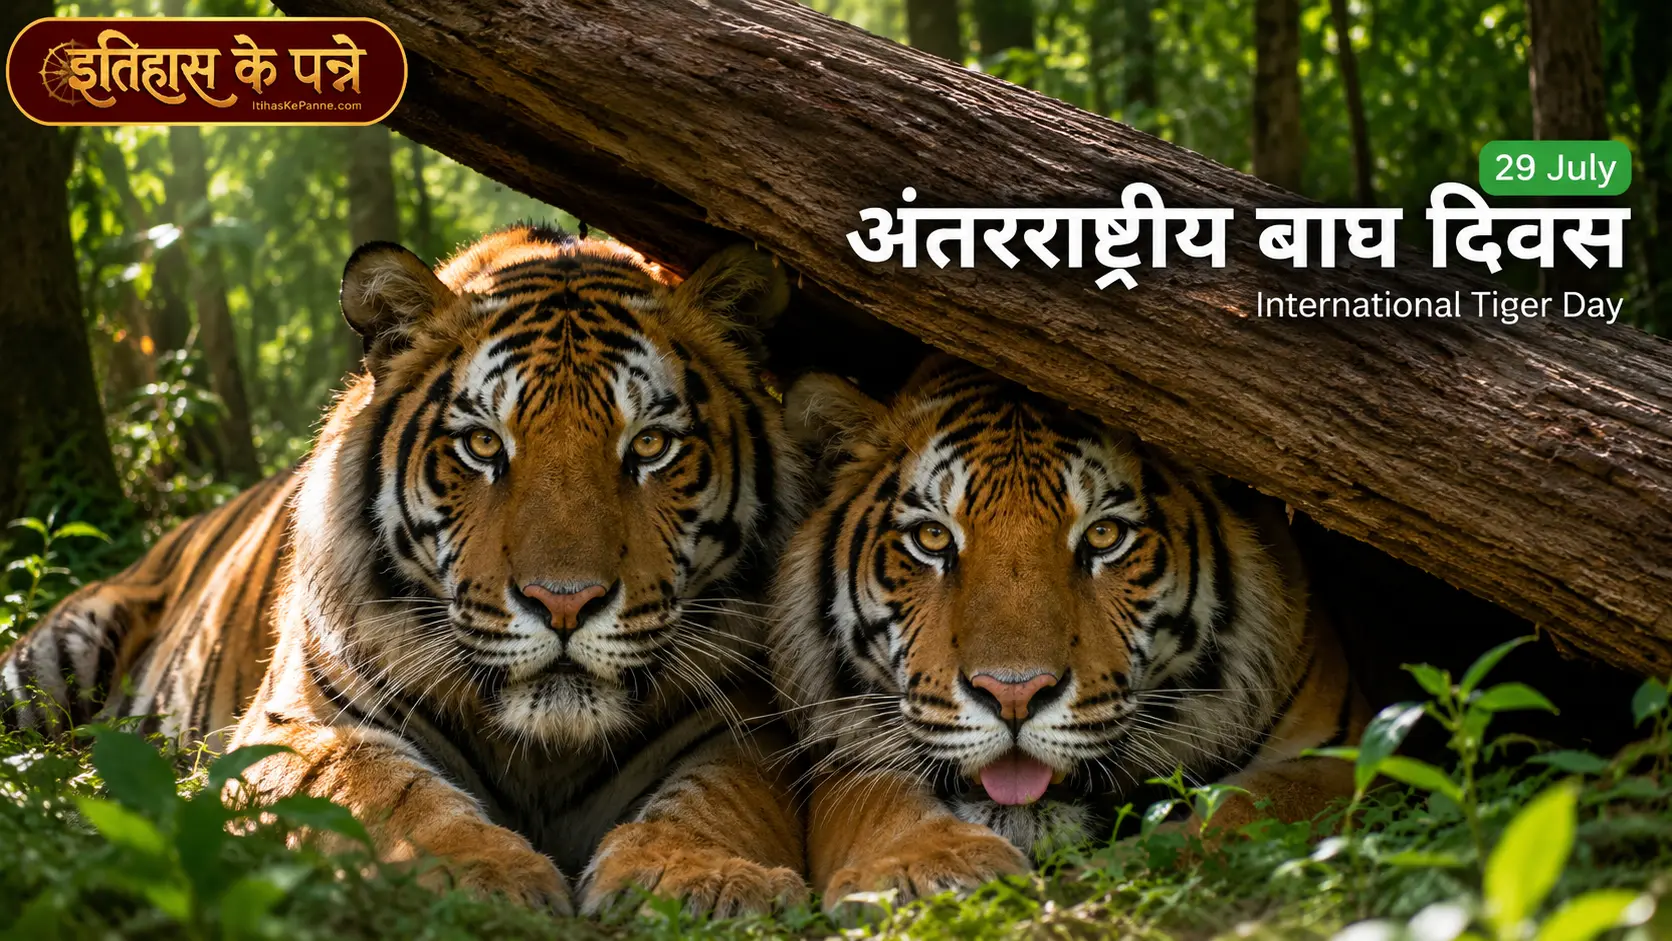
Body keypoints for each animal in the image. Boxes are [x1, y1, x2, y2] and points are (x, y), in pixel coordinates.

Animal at [1, 226, 812, 917]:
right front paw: (480, 872)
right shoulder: (301, 722)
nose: (564, 603)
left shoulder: (745, 729)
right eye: (483, 445)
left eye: (648, 445)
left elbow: (718, 799)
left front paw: (704, 879)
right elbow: (384, 794)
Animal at [768, 355, 1369, 907]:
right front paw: (924, 870)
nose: (1013, 695)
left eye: (1105, 535)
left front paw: (1123, 877)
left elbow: (1260, 807)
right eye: (933, 538)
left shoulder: (1340, 753)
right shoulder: (843, 758)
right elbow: (876, 797)